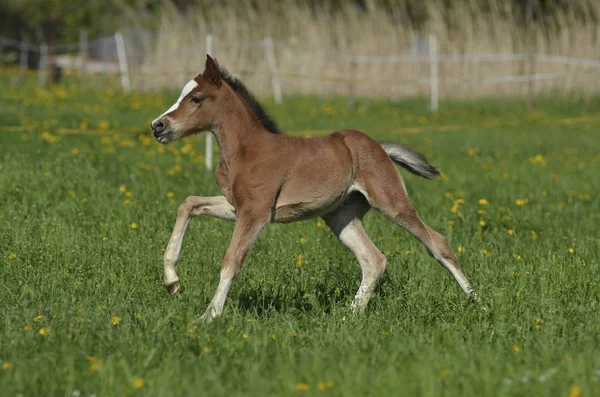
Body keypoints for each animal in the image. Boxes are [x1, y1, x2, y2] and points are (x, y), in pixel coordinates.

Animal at [151, 55, 478, 322]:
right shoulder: (237, 206)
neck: (246, 150)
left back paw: (476, 301)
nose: (158, 126)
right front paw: (171, 282)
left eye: (196, 98)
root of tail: (379, 147)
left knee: (437, 243)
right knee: (373, 259)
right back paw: (349, 315)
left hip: (391, 202)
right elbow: (188, 203)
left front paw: (209, 316)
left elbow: (231, 260)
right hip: (340, 216)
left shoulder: (255, 212)